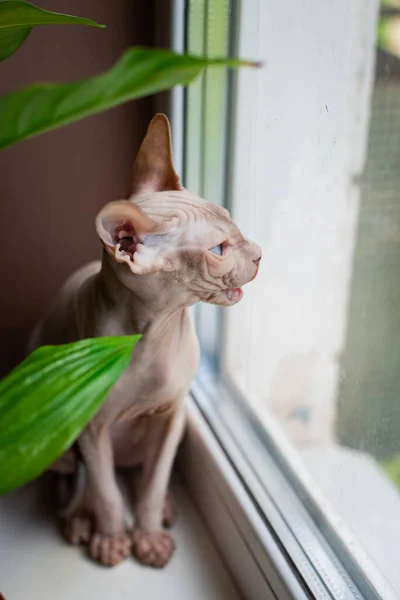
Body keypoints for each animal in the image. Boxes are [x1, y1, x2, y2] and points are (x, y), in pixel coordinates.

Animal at [30, 115, 262, 568]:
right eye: (219, 249)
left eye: (234, 224)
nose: (260, 254)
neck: (154, 332)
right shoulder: (90, 423)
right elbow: (105, 490)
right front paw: (112, 536)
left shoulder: (171, 415)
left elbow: (154, 482)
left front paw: (150, 535)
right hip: (57, 425)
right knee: (81, 476)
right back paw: (80, 517)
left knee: (140, 472)